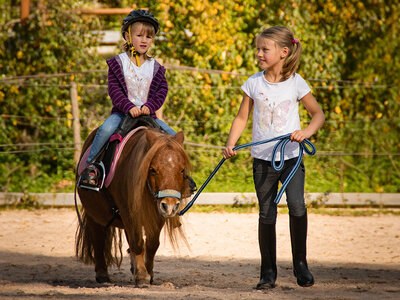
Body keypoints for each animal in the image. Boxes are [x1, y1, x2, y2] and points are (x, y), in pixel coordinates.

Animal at [77, 127, 192, 286]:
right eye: (153, 169)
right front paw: (142, 276)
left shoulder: (157, 215)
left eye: (182, 170)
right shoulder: (129, 212)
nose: (169, 206)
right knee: (98, 240)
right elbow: (137, 242)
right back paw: (102, 274)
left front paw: (148, 272)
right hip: (94, 214)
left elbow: (151, 244)